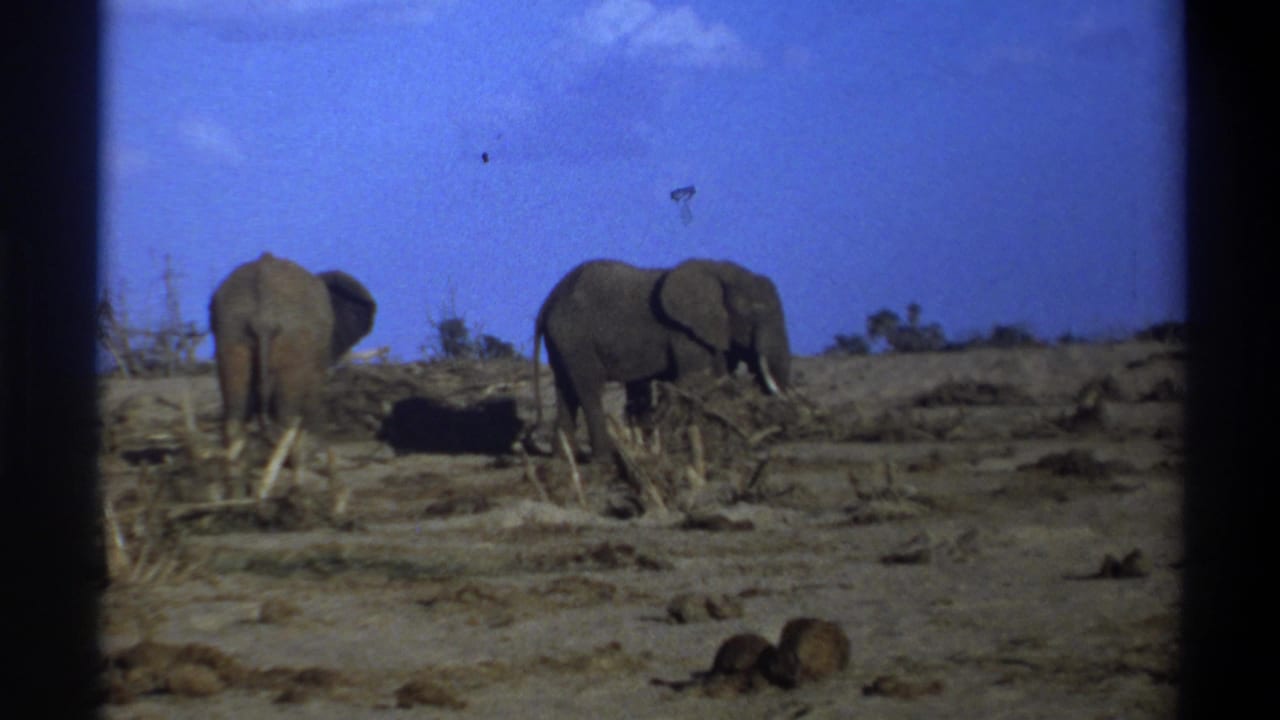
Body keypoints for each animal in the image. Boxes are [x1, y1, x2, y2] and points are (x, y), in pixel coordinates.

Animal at [533, 258, 791, 462]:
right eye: (754, 312)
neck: (716, 269)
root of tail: (547, 303)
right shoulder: (684, 334)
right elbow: (695, 380)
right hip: (575, 338)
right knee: (589, 389)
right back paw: (604, 459)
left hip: (562, 342)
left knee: (566, 390)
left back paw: (564, 459)